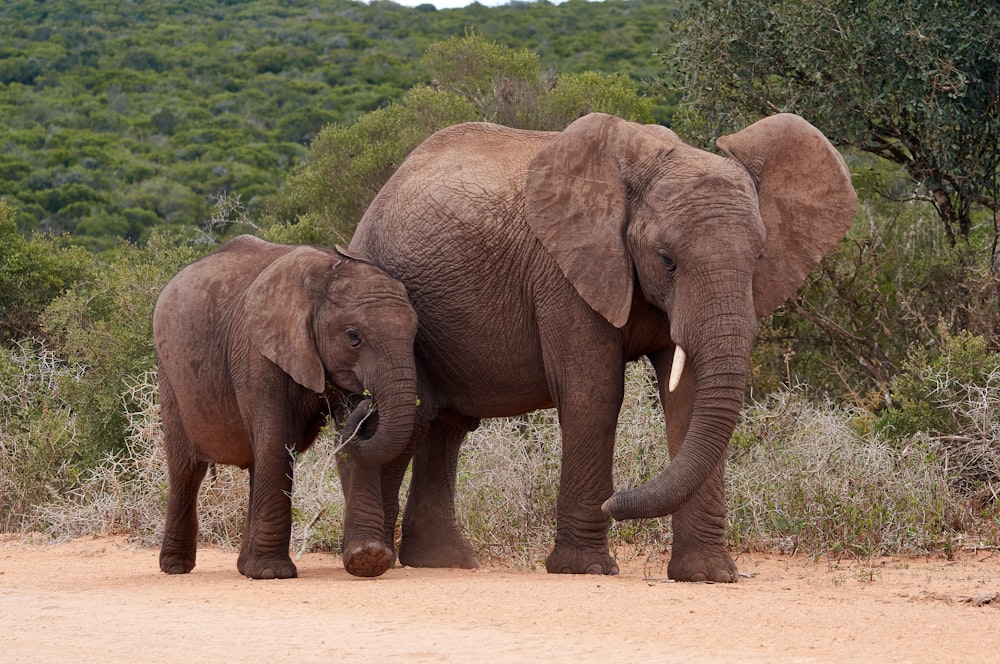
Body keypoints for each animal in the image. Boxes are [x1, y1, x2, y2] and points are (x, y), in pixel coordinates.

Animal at [155, 236, 418, 580]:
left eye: (415, 335)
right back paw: (176, 567)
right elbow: (277, 442)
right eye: (353, 337)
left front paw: (368, 559)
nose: (366, 401)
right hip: (170, 374)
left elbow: (349, 448)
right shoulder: (258, 353)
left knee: (254, 463)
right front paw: (272, 573)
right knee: (187, 468)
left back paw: (244, 567)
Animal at [348, 111, 856, 580]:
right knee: (409, 417)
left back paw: (442, 562)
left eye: (759, 258)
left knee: (446, 426)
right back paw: (377, 558)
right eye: (666, 260)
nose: (616, 502)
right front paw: (585, 568)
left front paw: (708, 576)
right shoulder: (563, 271)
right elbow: (594, 393)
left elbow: (689, 399)